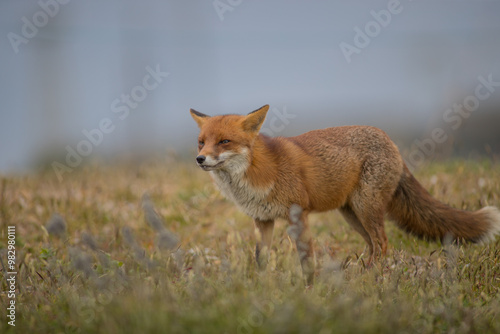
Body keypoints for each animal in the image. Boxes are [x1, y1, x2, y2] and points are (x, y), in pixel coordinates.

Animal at [190, 105, 500, 284]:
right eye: (202, 142)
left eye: (224, 141)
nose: (200, 159)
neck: (255, 174)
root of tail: (391, 142)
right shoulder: (262, 220)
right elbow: (260, 259)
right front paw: (260, 288)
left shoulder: (298, 214)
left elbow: (306, 260)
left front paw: (309, 289)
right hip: (351, 214)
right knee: (373, 245)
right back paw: (360, 275)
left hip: (366, 208)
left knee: (383, 244)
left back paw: (369, 279)